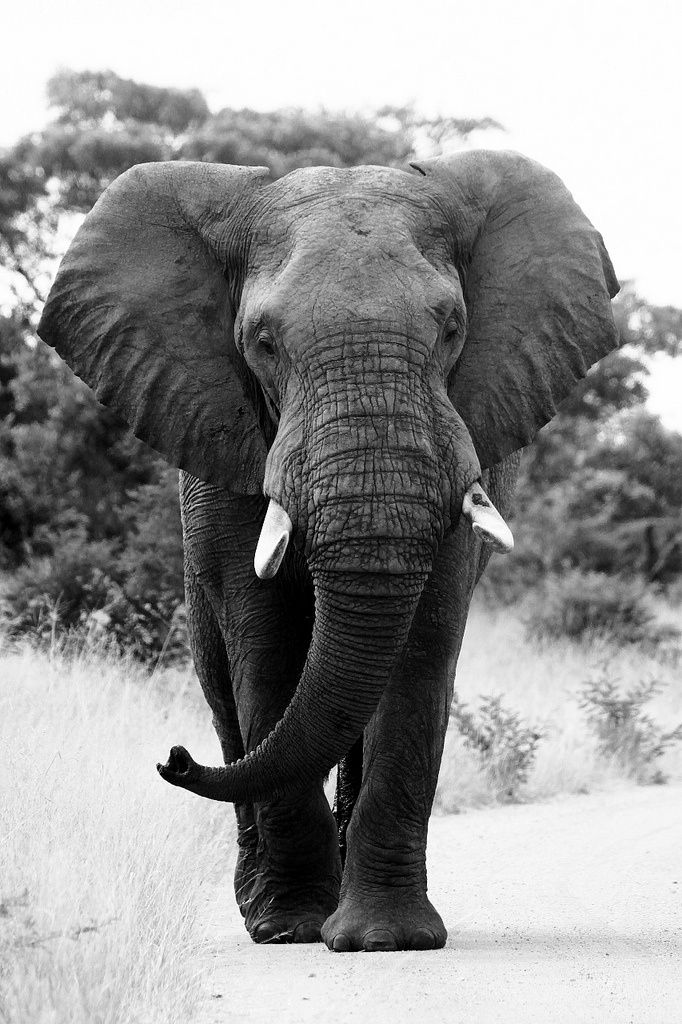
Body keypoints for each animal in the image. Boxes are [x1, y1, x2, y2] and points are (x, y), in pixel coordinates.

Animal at [38, 150, 619, 952]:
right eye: (262, 341)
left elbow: (420, 648)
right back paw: (264, 906)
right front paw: (290, 927)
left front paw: (387, 939)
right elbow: (265, 639)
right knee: (228, 691)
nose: (171, 756)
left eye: (452, 328)